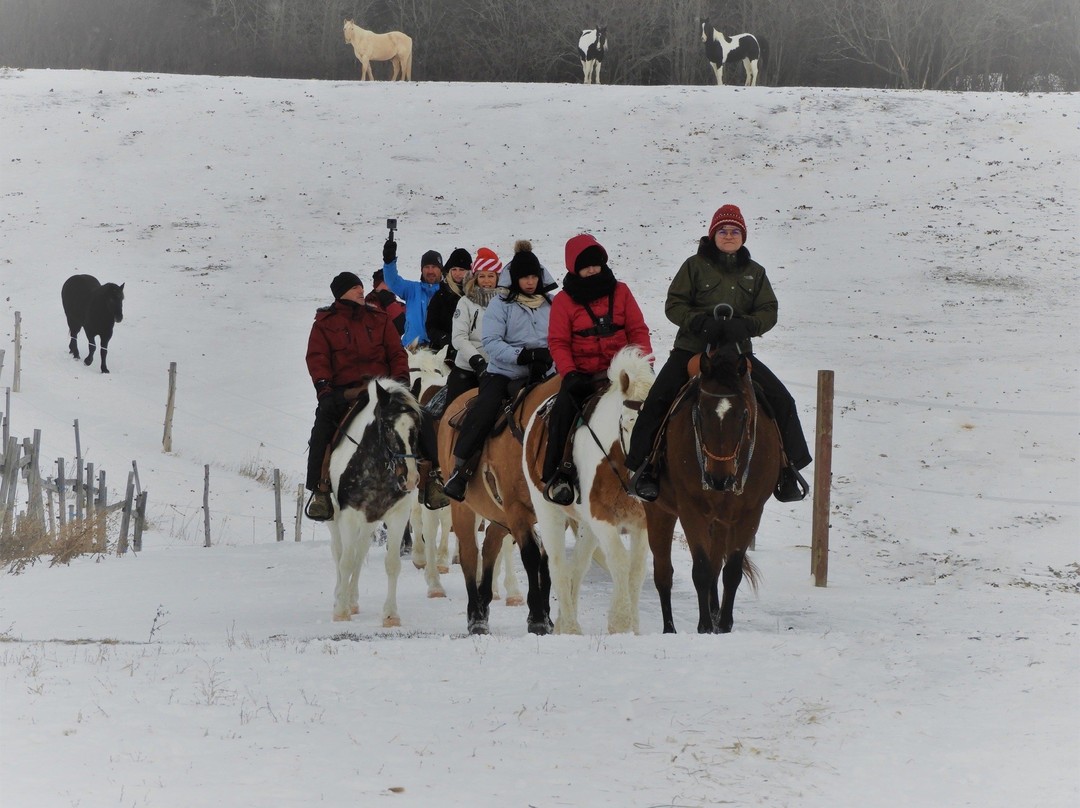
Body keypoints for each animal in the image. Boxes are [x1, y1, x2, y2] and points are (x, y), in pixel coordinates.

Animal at [328, 378, 425, 626]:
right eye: (388, 427)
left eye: (416, 427)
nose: (410, 478)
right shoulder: (348, 515)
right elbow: (345, 560)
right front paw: (340, 610)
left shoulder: (397, 515)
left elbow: (392, 564)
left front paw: (390, 615)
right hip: (334, 518)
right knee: (339, 552)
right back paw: (340, 596)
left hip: (370, 520)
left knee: (360, 551)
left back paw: (352, 599)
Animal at [438, 382, 557, 635]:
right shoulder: (517, 509)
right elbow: (532, 555)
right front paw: (538, 618)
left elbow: (547, 557)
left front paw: (545, 617)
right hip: (464, 509)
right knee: (470, 553)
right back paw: (476, 617)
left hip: (498, 515)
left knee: (490, 545)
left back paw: (484, 603)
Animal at [520, 343, 652, 635]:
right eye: (627, 421)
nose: (642, 475)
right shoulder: (602, 517)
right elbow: (620, 560)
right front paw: (621, 621)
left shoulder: (642, 522)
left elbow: (637, 569)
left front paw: (634, 627)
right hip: (549, 512)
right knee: (558, 565)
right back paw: (570, 628)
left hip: (586, 525)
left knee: (577, 567)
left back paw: (563, 622)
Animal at [643, 343, 781, 635]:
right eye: (701, 412)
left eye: (742, 414)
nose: (719, 479)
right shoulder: (690, 511)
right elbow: (702, 570)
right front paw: (705, 625)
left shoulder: (750, 513)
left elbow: (731, 571)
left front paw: (724, 624)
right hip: (659, 511)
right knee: (663, 572)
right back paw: (670, 628)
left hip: (720, 522)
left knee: (717, 565)